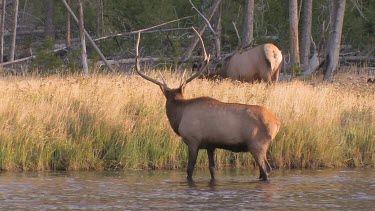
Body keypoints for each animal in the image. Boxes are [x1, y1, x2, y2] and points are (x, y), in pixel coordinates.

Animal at [134, 27, 280, 181]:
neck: (179, 117)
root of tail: (277, 123)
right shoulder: (211, 145)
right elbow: (212, 169)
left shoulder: (193, 140)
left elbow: (189, 170)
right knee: (262, 172)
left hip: (257, 145)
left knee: (266, 169)